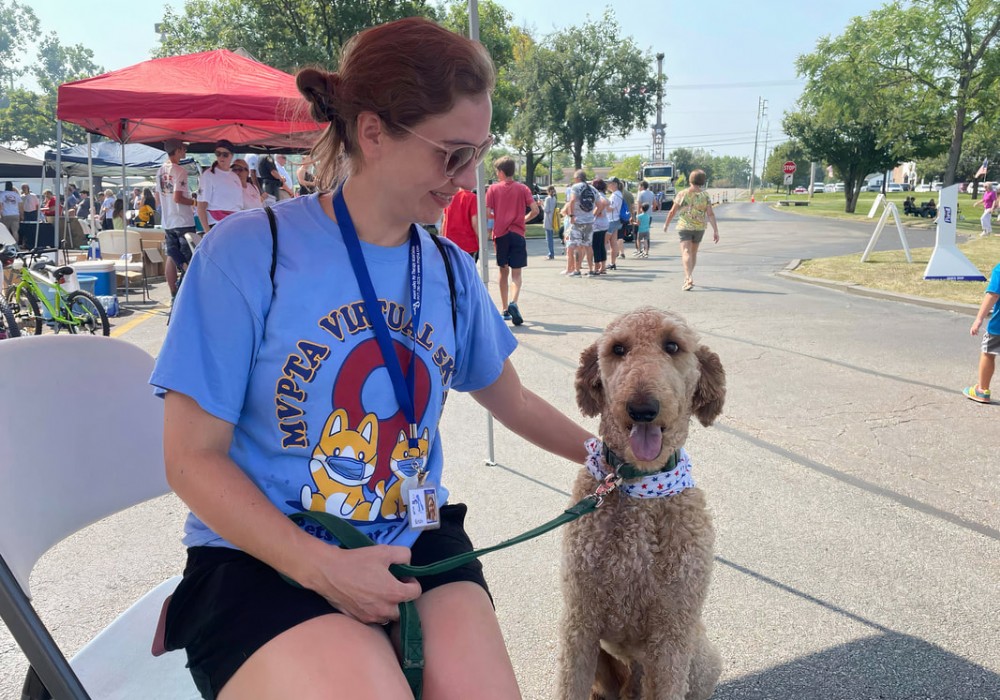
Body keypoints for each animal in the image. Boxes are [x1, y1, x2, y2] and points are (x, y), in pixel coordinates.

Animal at [556, 308, 728, 696]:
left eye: (672, 346)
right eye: (618, 349)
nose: (642, 408)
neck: (637, 484)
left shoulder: (672, 635)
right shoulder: (579, 623)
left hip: (703, 659)